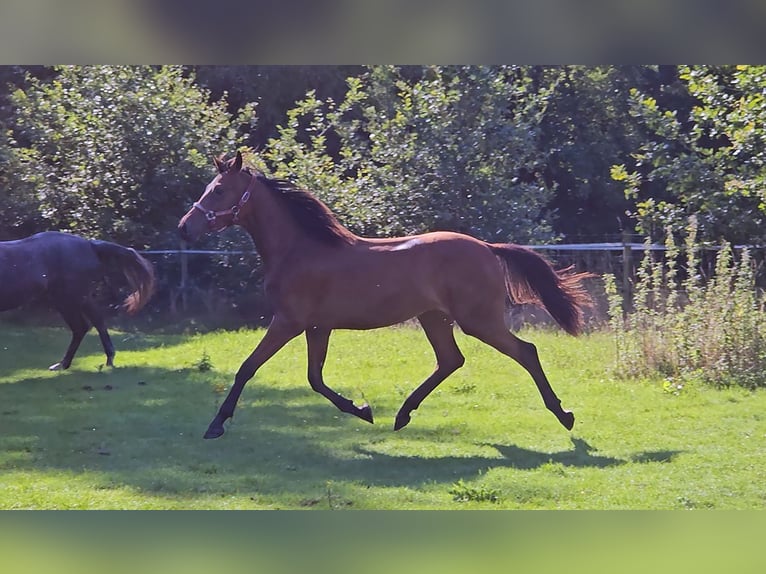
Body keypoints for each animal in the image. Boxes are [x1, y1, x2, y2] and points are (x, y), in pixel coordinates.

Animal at [0, 231, 155, 370]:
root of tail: (90, 245)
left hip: (68, 300)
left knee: (83, 326)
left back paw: (67, 364)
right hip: (79, 298)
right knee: (94, 322)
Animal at [179, 151, 593, 439]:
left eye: (218, 190)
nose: (184, 228)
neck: (299, 249)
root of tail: (489, 248)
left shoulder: (289, 322)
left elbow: (248, 368)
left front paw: (216, 424)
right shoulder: (317, 327)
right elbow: (315, 378)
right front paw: (363, 409)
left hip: (479, 320)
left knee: (525, 352)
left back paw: (564, 415)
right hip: (434, 317)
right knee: (451, 360)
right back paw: (402, 414)